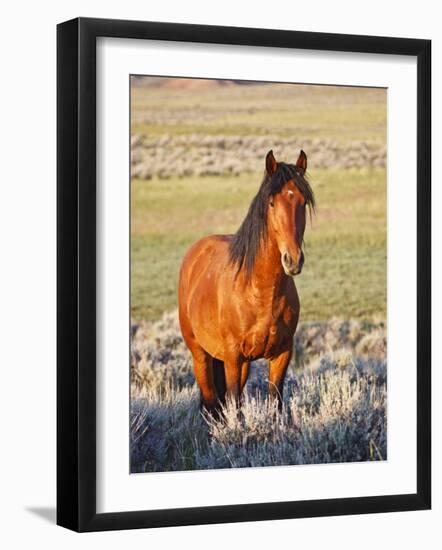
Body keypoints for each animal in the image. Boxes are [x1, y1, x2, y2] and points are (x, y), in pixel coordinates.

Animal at [177, 149, 314, 416]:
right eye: (271, 203)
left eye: (303, 202)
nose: (292, 260)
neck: (260, 292)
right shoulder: (233, 357)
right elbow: (234, 406)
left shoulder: (282, 355)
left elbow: (274, 402)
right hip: (201, 355)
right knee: (211, 403)